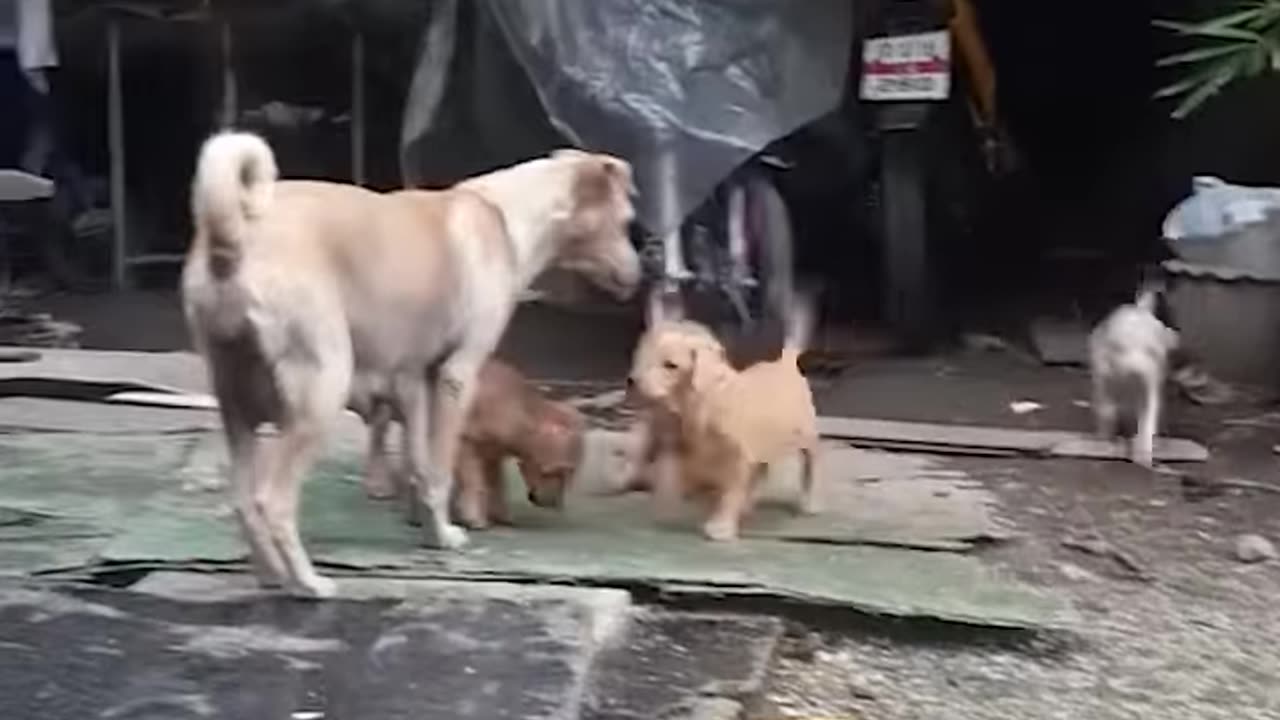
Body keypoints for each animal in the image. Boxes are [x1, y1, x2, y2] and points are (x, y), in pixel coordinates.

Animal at [183, 131, 637, 597]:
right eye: (626, 221)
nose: (638, 277)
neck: (501, 217)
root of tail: (232, 240)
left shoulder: (416, 380)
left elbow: (421, 466)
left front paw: (431, 531)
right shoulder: (457, 376)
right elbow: (440, 469)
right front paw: (447, 535)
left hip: (236, 403)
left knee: (242, 500)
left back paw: (272, 575)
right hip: (320, 394)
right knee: (271, 501)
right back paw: (308, 583)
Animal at [627, 299, 819, 540]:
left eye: (670, 365)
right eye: (642, 356)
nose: (632, 381)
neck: (696, 404)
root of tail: (785, 363)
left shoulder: (737, 457)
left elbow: (730, 492)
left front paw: (721, 526)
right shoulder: (686, 449)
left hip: (807, 435)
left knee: (810, 465)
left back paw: (809, 502)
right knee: (760, 470)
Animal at [1090, 280, 1177, 466]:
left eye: (1152, 352)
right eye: (1120, 349)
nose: (1136, 371)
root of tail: (1140, 309)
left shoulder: (1150, 382)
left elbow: (1148, 413)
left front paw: (1143, 455)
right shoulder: (1102, 375)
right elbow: (1105, 407)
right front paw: (1105, 439)